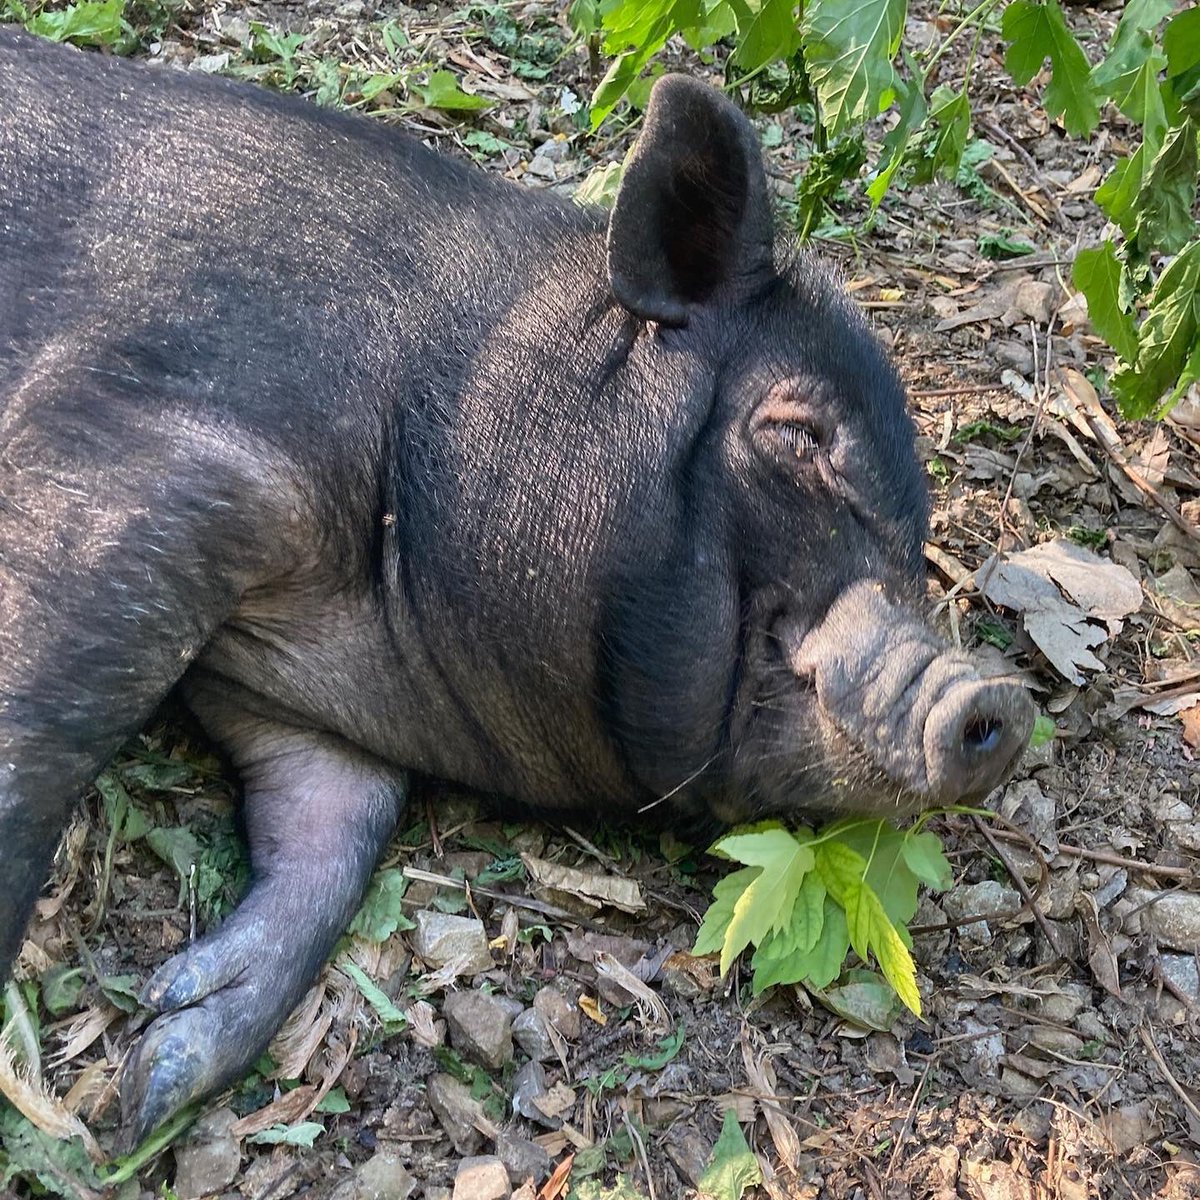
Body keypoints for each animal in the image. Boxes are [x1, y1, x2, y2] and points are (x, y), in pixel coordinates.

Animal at [0, 27, 1033, 1144]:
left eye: (917, 539)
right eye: (799, 436)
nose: (1000, 697)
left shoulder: (301, 710)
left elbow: (334, 829)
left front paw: (158, 1071)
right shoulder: (150, 441)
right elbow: (40, 726)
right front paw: (128, 1111)